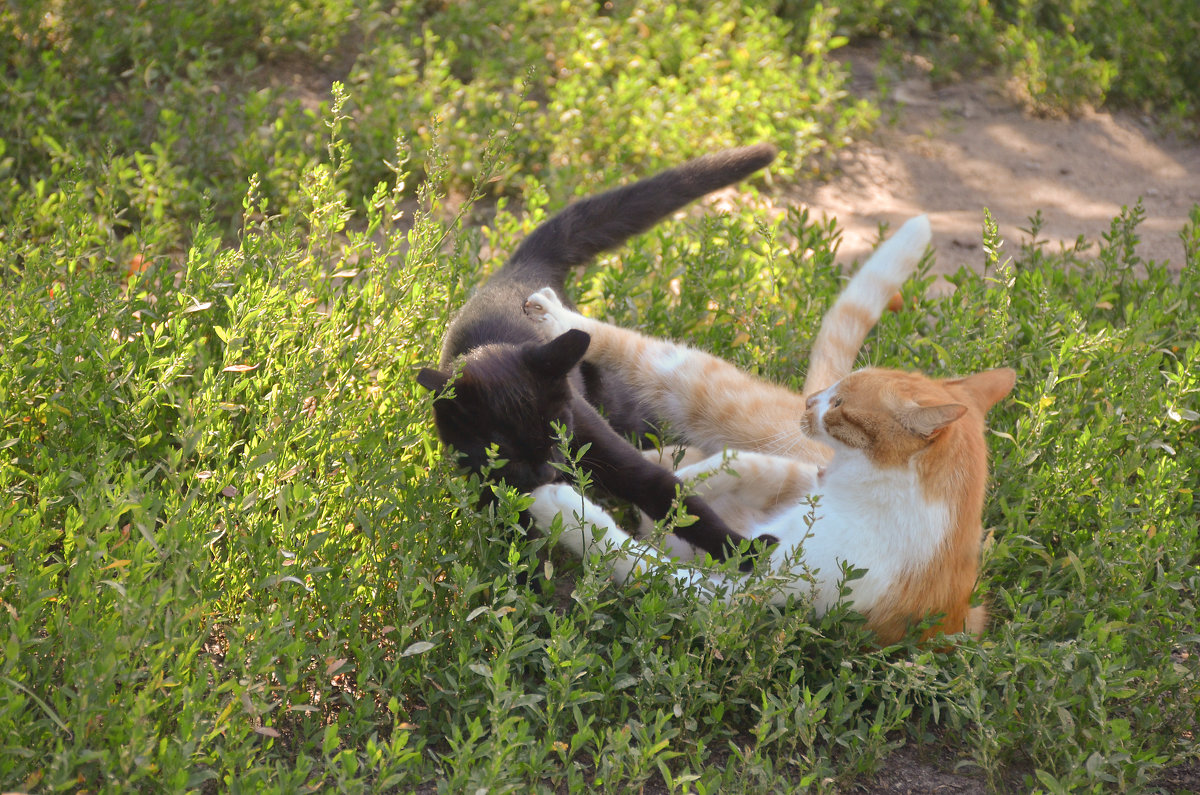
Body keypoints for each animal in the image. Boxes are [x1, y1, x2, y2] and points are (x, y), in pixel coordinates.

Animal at [420, 146, 777, 564]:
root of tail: (517, 268)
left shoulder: (597, 437)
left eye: (557, 431)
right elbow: (515, 544)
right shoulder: (488, 484)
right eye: (503, 450)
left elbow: (670, 496)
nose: (546, 474)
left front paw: (745, 555)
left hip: (616, 407)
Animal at [523, 214, 1012, 643]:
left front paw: (561, 507)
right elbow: (743, 469)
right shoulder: (806, 479)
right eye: (837, 389)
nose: (811, 402)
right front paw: (686, 488)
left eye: (840, 403)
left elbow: (630, 556)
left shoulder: (736, 592)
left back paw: (557, 321)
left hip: (709, 392)